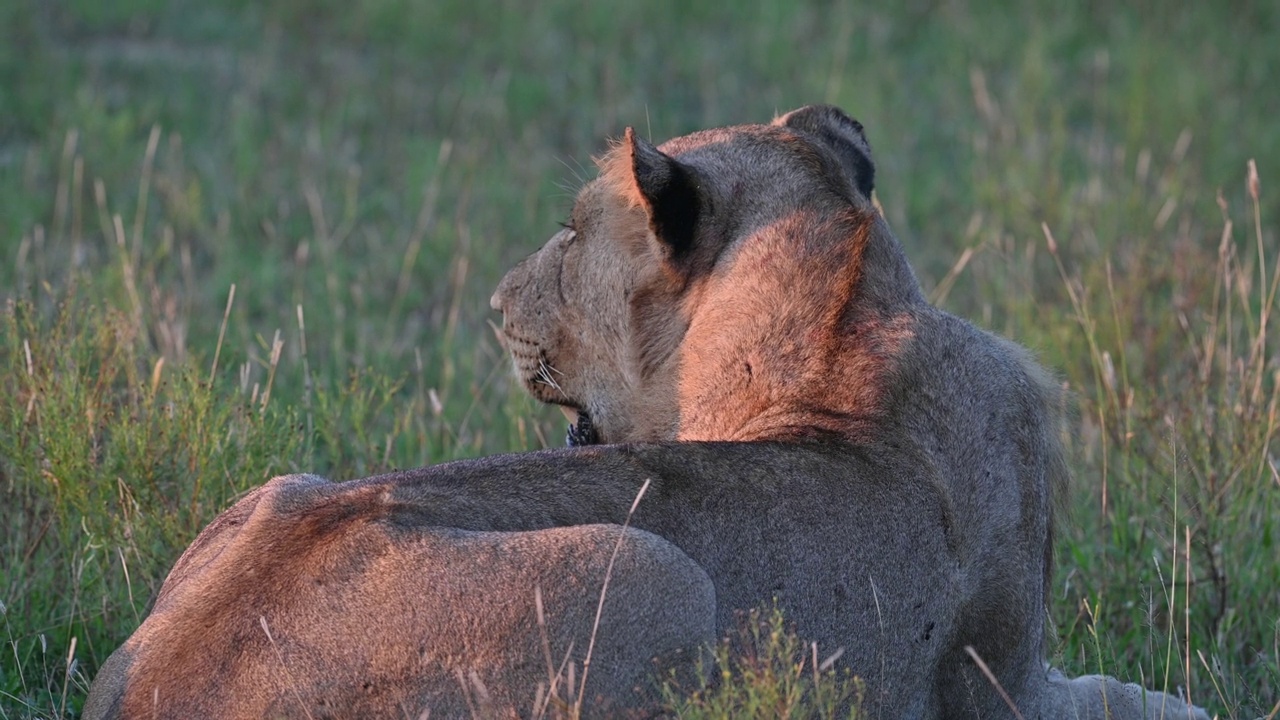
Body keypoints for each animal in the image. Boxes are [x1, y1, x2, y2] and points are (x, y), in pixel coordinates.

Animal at [82, 103, 1208, 712]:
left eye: (573, 233)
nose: (493, 304)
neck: (840, 336)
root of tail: (165, 682)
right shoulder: (999, 688)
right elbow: (1139, 700)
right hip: (652, 567)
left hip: (281, 489)